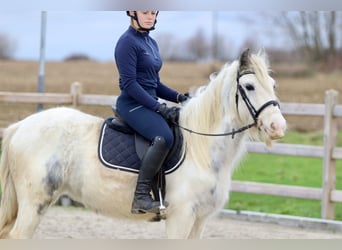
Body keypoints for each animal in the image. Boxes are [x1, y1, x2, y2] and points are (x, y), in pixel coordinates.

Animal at [0, 48, 286, 238]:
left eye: (273, 84)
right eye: (249, 86)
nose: (278, 127)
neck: (201, 150)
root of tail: (20, 126)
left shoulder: (199, 220)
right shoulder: (181, 216)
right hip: (34, 202)